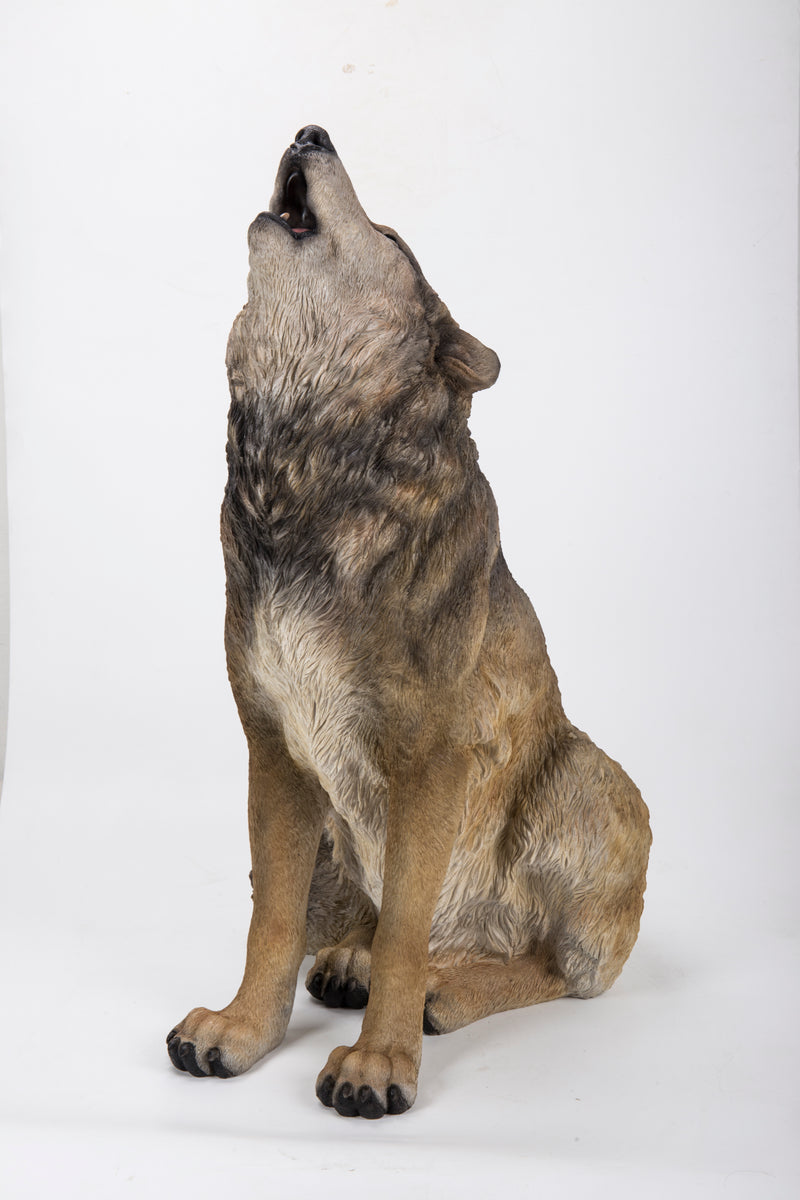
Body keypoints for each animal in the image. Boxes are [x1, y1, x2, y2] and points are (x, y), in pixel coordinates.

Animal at [167, 125, 651, 1119]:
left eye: (390, 239)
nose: (311, 131)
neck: (308, 470)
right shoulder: (275, 748)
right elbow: (272, 919)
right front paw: (243, 1030)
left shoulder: (432, 760)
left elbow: (406, 935)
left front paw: (379, 1061)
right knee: (366, 922)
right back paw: (352, 958)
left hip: (594, 778)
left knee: (549, 961)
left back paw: (447, 985)